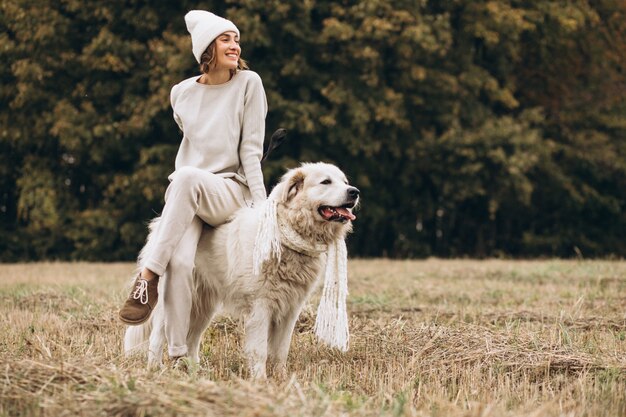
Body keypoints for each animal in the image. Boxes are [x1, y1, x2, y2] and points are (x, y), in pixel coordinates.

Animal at [123, 162, 356, 376]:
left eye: (344, 181)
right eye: (326, 182)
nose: (354, 192)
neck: (286, 234)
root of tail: (159, 223)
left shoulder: (290, 309)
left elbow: (281, 350)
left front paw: (281, 380)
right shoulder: (261, 306)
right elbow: (260, 350)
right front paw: (260, 381)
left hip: (202, 306)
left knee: (192, 339)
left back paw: (195, 372)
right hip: (173, 301)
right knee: (157, 338)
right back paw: (155, 369)